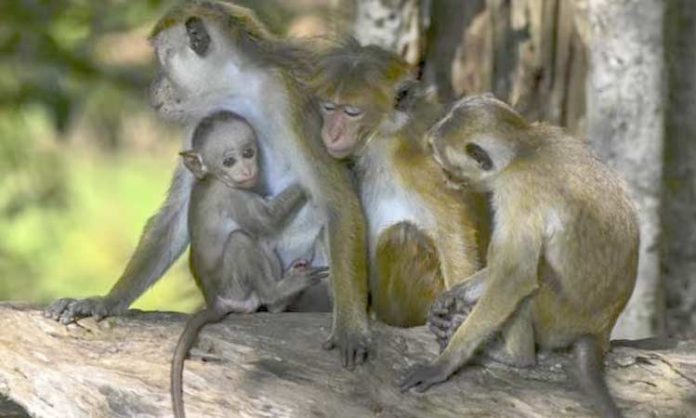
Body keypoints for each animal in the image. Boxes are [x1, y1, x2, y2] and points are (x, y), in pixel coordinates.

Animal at [43, 1, 372, 368]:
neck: (236, 87)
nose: (153, 85)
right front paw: (107, 301)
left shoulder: (292, 100)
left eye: (161, 60)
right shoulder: (200, 122)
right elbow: (177, 214)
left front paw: (350, 328)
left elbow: (336, 200)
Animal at [171, 110, 328, 418]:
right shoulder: (234, 196)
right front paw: (309, 175)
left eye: (248, 153)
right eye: (229, 161)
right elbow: (267, 220)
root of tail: (216, 301)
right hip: (236, 288)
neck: (214, 179)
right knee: (243, 239)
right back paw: (277, 294)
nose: (246, 170)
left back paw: (281, 301)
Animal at [400, 94, 640, 418]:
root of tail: (600, 331)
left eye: (448, 166)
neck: (524, 148)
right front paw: (452, 298)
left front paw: (445, 363)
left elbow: (514, 276)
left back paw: (514, 357)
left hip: (556, 321)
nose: (446, 179)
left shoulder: (517, 190)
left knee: (529, 285)